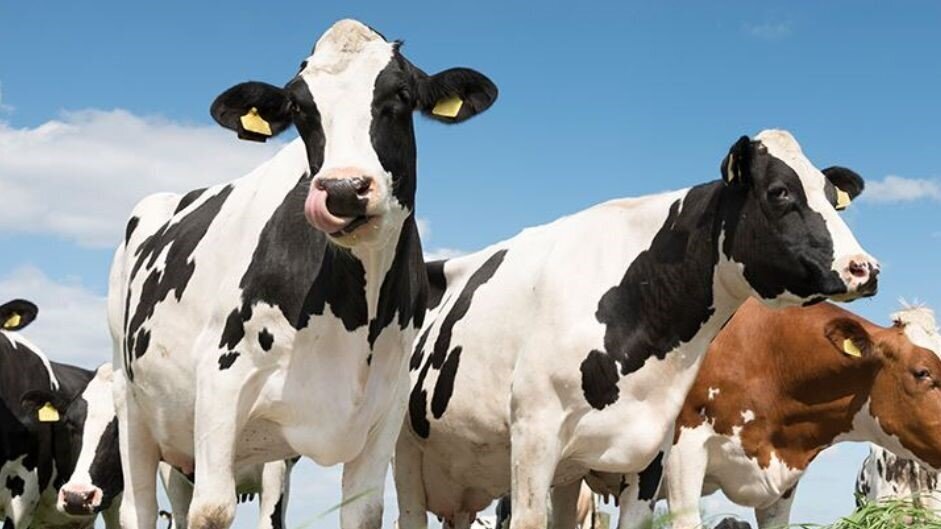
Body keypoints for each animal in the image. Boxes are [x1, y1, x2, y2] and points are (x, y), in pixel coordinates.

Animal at [110, 18, 497, 529]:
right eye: (299, 107)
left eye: (400, 94)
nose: (343, 189)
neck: (354, 317)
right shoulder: (219, 384)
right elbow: (211, 510)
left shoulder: (385, 410)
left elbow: (362, 512)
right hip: (131, 401)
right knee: (139, 506)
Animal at [395, 129, 879, 529]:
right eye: (780, 192)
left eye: (832, 197)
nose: (865, 268)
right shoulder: (534, 434)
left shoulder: (650, 451)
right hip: (405, 452)